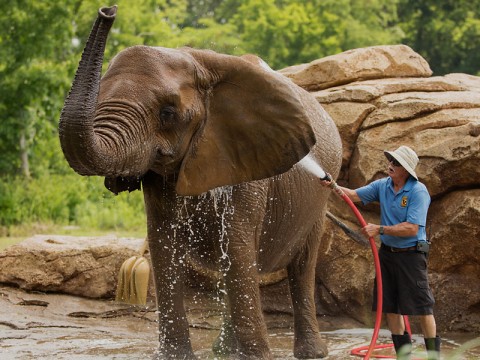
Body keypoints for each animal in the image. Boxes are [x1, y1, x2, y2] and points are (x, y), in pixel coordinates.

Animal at [59, 6, 342, 360]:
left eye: (167, 113)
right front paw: (176, 357)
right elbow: (164, 248)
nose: (108, 11)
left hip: (320, 198)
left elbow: (236, 245)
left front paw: (257, 357)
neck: (201, 62)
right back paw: (225, 351)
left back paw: (311, 353)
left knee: (300, 266)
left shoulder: (248, 167)